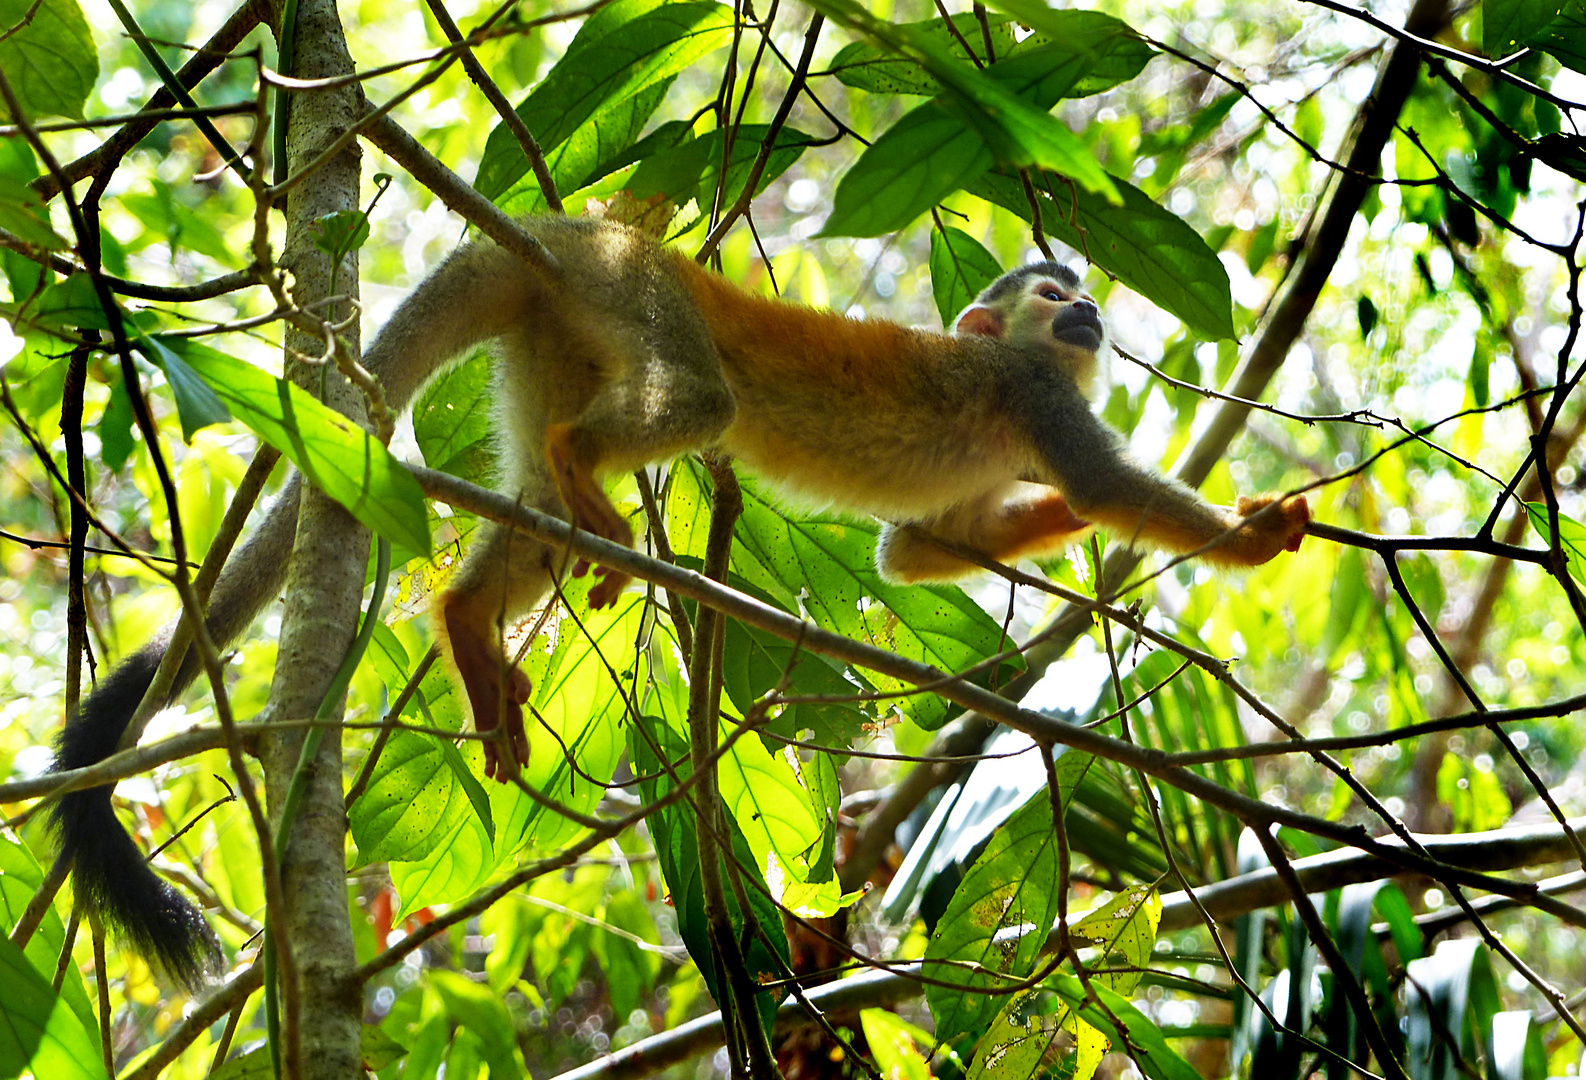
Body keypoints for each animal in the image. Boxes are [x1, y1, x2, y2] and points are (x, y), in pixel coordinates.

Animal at [52, 214, 1313, 983]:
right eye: (1053, 297)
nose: (1089, 315)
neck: (1027, 370)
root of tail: (568, 226)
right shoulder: (1031, 390)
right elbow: (1104, 483)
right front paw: (1248, 537)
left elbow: (911, 553)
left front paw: (1056, 528)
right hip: (631, 291)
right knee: (695, 400)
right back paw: (577, 473)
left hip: (555, 329)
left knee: (543, 488)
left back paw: (476, 612)